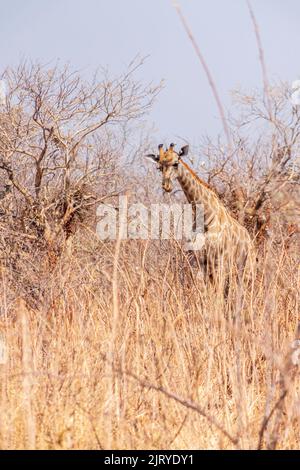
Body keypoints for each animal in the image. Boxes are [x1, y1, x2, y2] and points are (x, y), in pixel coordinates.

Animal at [146, 141, 254, 284]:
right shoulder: (198, 261)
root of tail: (249, 240)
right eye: (159, 167)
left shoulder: (219, 261)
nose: (167, 186)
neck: (205, 216)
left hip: (245, 270)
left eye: (176, 163)